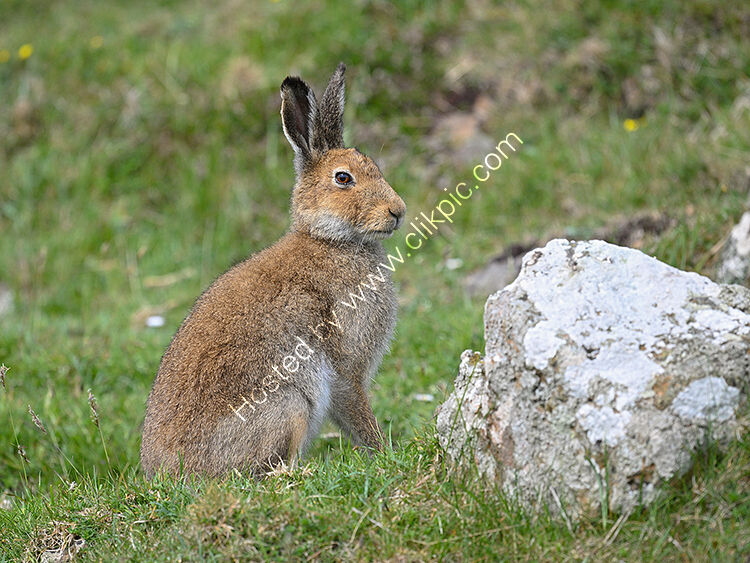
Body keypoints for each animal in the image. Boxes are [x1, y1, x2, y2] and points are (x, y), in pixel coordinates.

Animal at [140, 63, 407, 478]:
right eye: (343, 178)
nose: (398, 211)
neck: (330, 240)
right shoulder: (346, 368)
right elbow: (356, 408)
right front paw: (382, 452)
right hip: (290, 405)